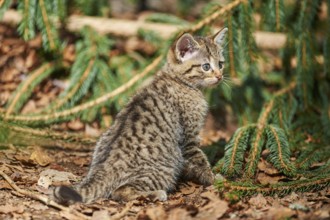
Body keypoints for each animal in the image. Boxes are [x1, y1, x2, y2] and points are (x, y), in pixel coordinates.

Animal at [53, 27, 227, 205]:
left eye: (221, 64)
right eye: (206, 66)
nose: (219, 76)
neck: (180, 81)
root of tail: (102, 169)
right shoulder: (188, 140)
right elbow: (201, 161)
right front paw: (215, 179)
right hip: (166, 167)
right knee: (120, 191)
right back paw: (154, 194)